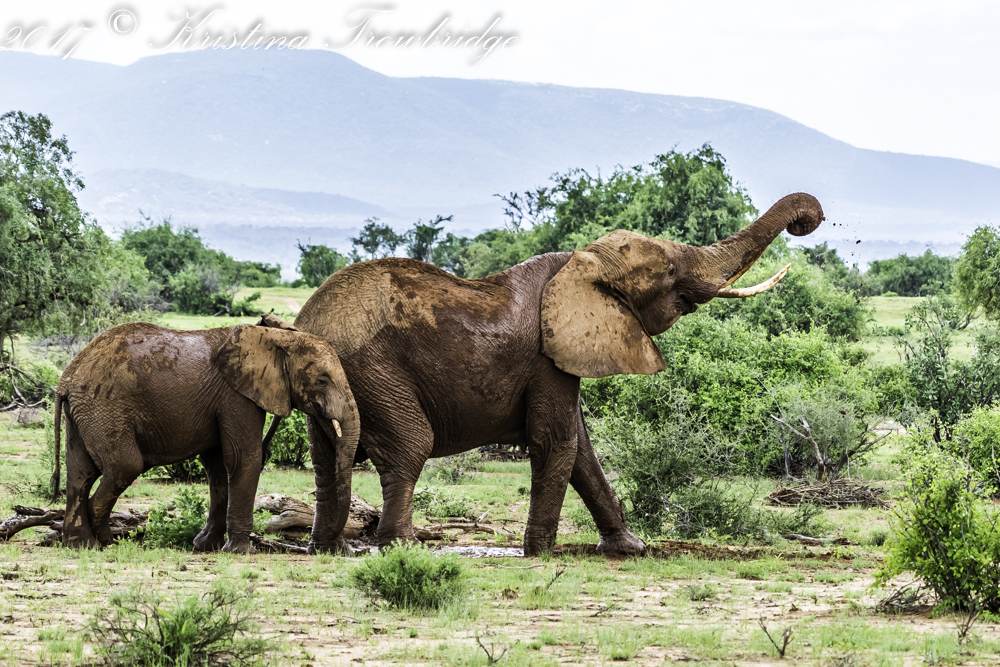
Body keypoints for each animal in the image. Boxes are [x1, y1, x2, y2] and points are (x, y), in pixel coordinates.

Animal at [51, 321, 360, 553]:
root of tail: (65, 380)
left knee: (80, 473)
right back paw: (101, 540)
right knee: (123, 466)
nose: (335, 546)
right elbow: (243, 459)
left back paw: (81, 544)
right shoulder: (237, 396)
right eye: (322, 380)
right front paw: (240, 551)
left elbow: (217, 465)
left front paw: (205, 545)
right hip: (104, 408)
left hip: (84, 412)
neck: (276, 338)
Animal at [268, 192, 823, 556]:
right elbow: (558, 441)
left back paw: (326, 548)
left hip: (337, 379)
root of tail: (309, 322)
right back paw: (401, 548)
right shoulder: (547, 357)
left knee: (327, 458)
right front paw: (541, 553)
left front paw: (631, 548)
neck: (581, 264)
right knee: (409, 446)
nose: (811, 220)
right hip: (377, 373)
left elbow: (581, 449)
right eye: (668, 271)